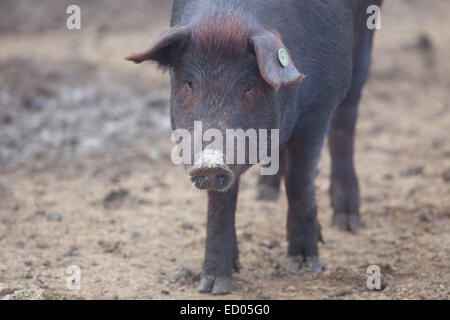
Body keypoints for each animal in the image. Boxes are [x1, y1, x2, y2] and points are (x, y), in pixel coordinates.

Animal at [125, 0, 380, 296]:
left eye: (248, 85)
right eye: (189, 83)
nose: (209, 161)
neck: (226, 16)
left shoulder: (319, 107)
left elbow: (300, 181)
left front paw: (304, 266)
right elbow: (221, 202)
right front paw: (213, 285)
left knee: (347, 115)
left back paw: (346, 221)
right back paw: (265, 194)